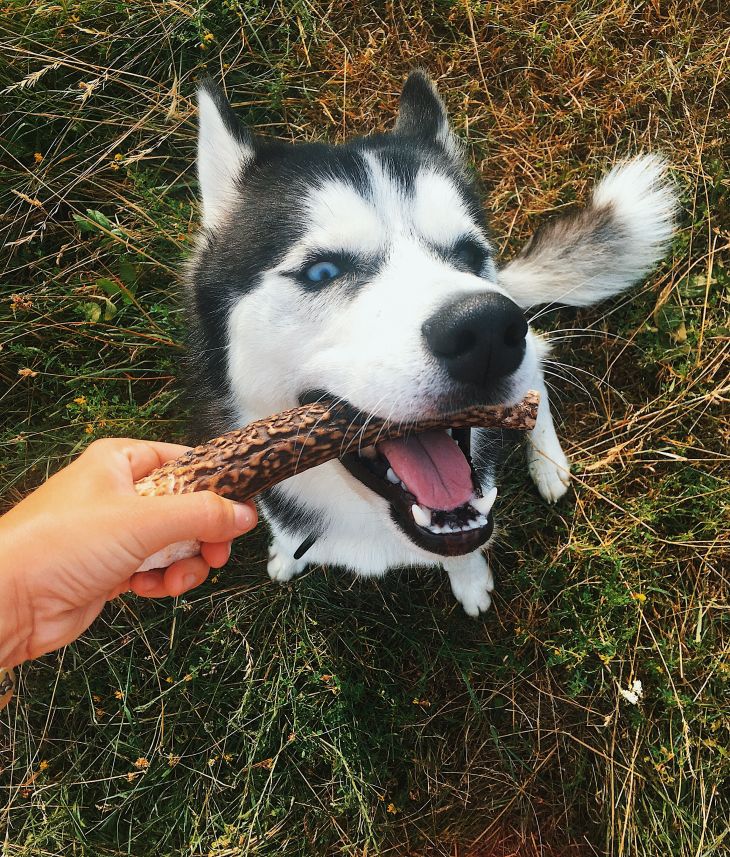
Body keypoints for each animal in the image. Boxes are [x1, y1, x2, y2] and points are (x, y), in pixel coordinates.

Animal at [186, 68, 672, 616]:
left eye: (469, 254)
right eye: (322, 271)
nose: (486, 331)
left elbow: (467, 548)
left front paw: (470, 579)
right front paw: (286, 555)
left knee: (540, 368)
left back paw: (548, 463)